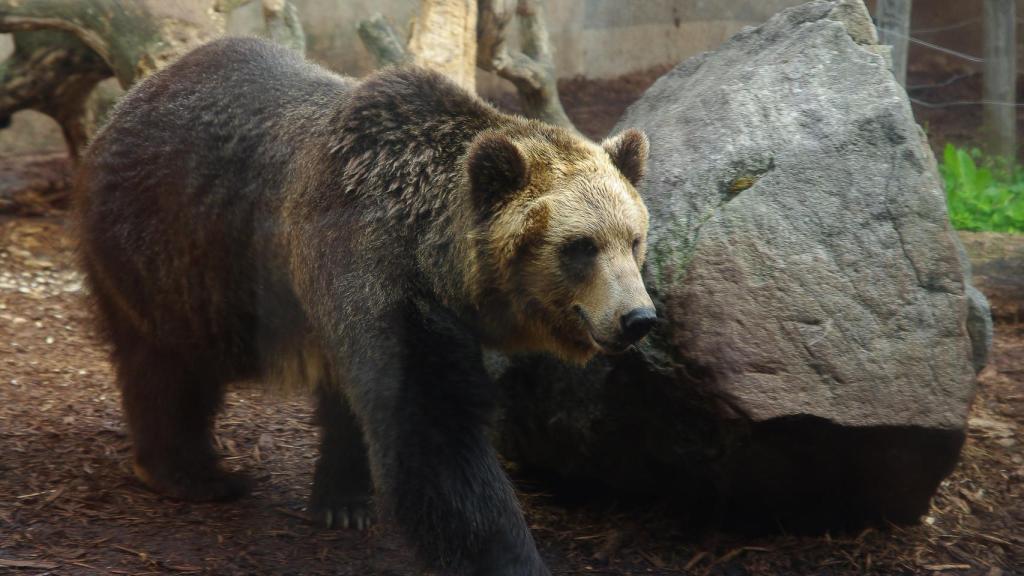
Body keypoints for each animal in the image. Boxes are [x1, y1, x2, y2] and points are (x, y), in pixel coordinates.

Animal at [75, 37, 655, 576]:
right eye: (579, 246)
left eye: (633, 239)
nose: (637, 318)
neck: (435, 257)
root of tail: (133, 96)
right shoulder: (370, 268)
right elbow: (432, 434)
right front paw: (510, 554)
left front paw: (346, 500)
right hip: (173, 252)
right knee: (168, 366)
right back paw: (191, 473)